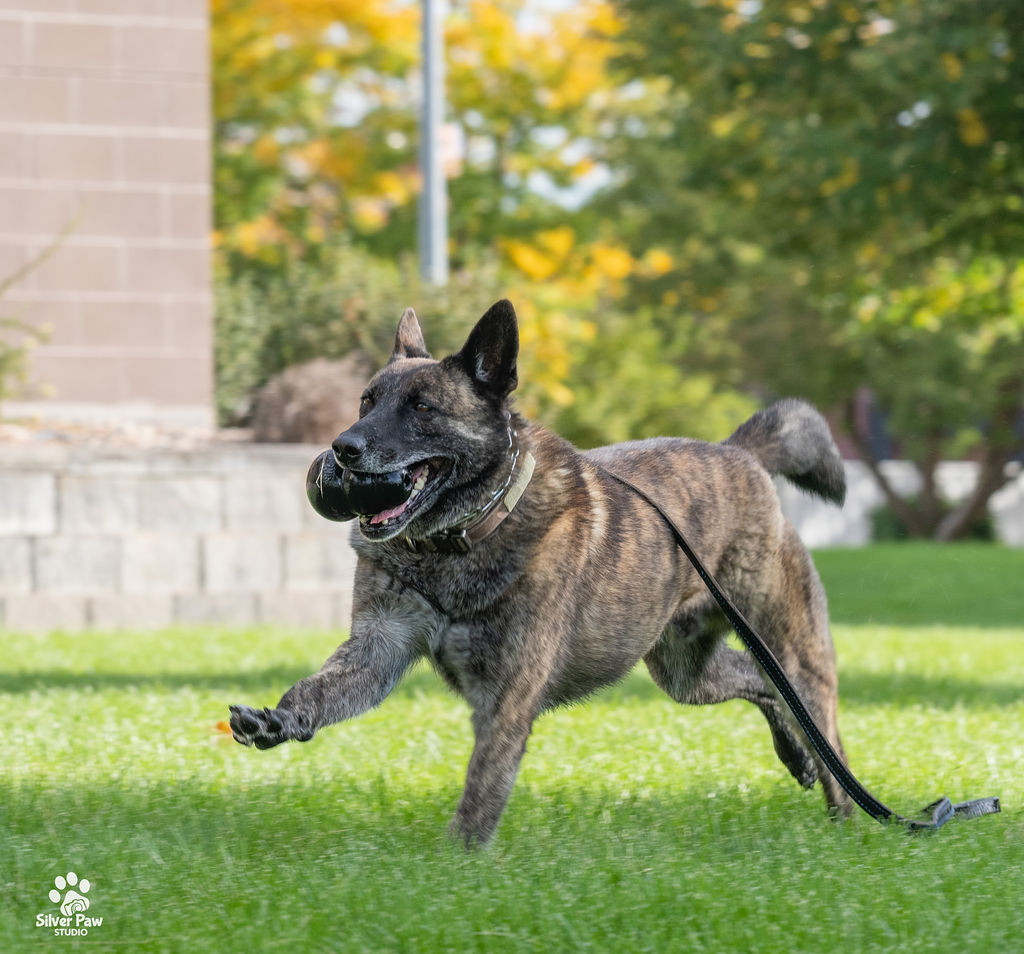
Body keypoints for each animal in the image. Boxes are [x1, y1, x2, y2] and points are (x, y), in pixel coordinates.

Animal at [230, 299, 853, 845]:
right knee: (761, 683)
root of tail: (739, 454)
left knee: (824, 732)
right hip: (685, 674)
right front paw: (279, 720)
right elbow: (314, 691)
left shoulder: (506, 698)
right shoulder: (376, 652)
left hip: (794, 652)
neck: (457, 543)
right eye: (366, 402)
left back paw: (846, 822)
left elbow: (482, 788)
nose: (342, 448)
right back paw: (797, 756)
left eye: (423, 408)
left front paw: (455, 866)